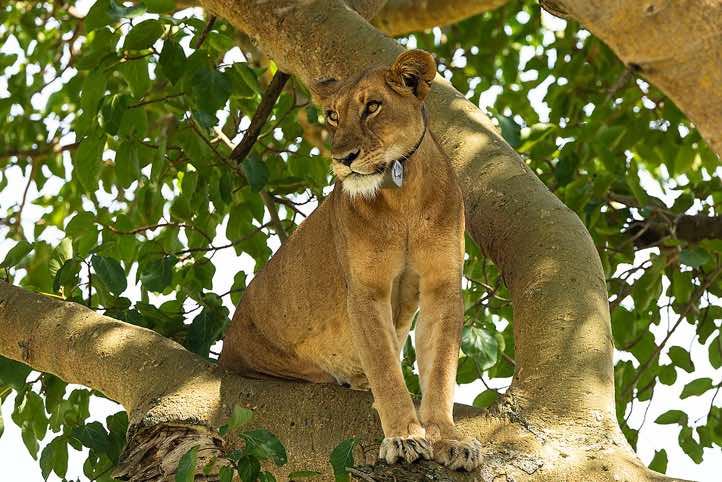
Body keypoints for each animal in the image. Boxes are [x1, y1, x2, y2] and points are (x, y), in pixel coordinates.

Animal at [219, 49, 481, 471]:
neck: (402, 195)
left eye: (372, 107)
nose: (343, 158)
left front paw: (449, 440)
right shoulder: (364, 292)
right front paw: (404, 438)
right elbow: (386, 370)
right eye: (332, 116)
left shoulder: (442, 287)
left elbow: (440, 371)